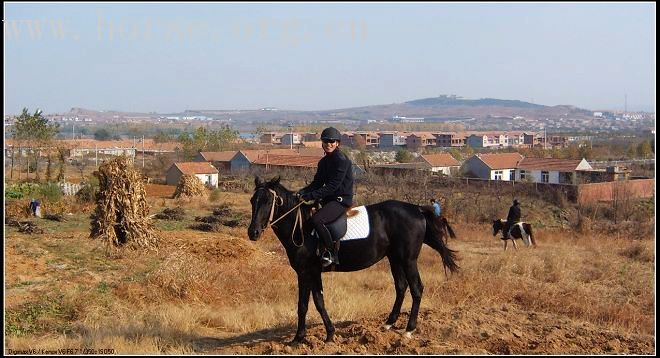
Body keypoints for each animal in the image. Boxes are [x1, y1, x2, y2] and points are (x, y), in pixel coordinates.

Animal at [248, 176, 458, 344]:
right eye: (253, 200)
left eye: (268, 201)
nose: (253, 232)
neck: (301, 227)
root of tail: (417, 209)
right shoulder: (312, 272)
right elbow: (316, 302)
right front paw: (326, 334)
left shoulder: (306, 271)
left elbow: (305, 304)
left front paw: (301, 338)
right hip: (395, 258)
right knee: (401, 287)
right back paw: (388, 324)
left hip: (408, 260)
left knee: (416, 289)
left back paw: (408, 330)